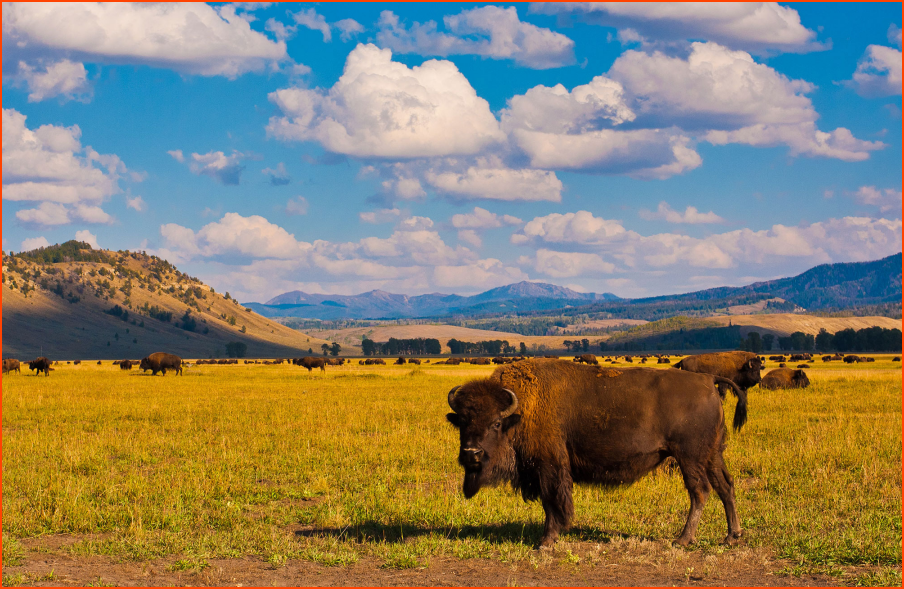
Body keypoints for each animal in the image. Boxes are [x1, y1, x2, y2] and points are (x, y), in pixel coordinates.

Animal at [446, 358, 748, 548]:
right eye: (462, 422)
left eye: (495, 423)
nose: (471, 453)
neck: (520, 410)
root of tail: (708, 380)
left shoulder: (549, 465)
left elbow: (552, 500)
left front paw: (546, 540)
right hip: (711, 455)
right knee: (725, 486)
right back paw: (731, 536)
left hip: (690, 457)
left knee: (700, 491)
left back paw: (683, 539)